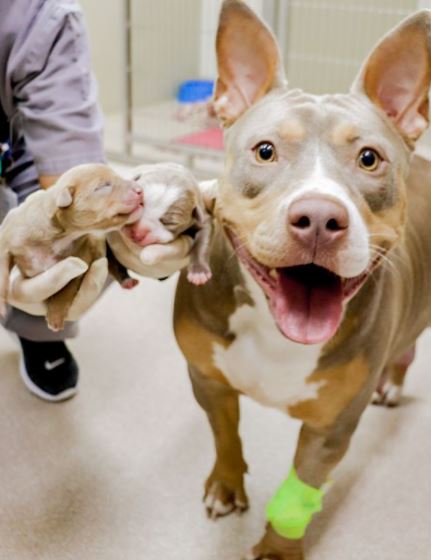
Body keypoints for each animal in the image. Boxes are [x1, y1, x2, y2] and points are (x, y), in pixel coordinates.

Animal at [0, 162, 143, 330]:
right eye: (103, 186)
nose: (140, 190)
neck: (62, 236)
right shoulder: (8, 239)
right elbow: (2, 268)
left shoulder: (80, 257)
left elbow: (67, 288)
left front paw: (55, 317)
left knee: (114, 262)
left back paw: (127, 281)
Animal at [175, 2, 431, 556]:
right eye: (265, 151)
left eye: (369, 158)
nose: (318, 217)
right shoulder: (208, 381)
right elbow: (225, 436)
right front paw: (226, 485)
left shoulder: (331, 428)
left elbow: (299, 495)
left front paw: (277, 549)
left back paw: (393, 384)